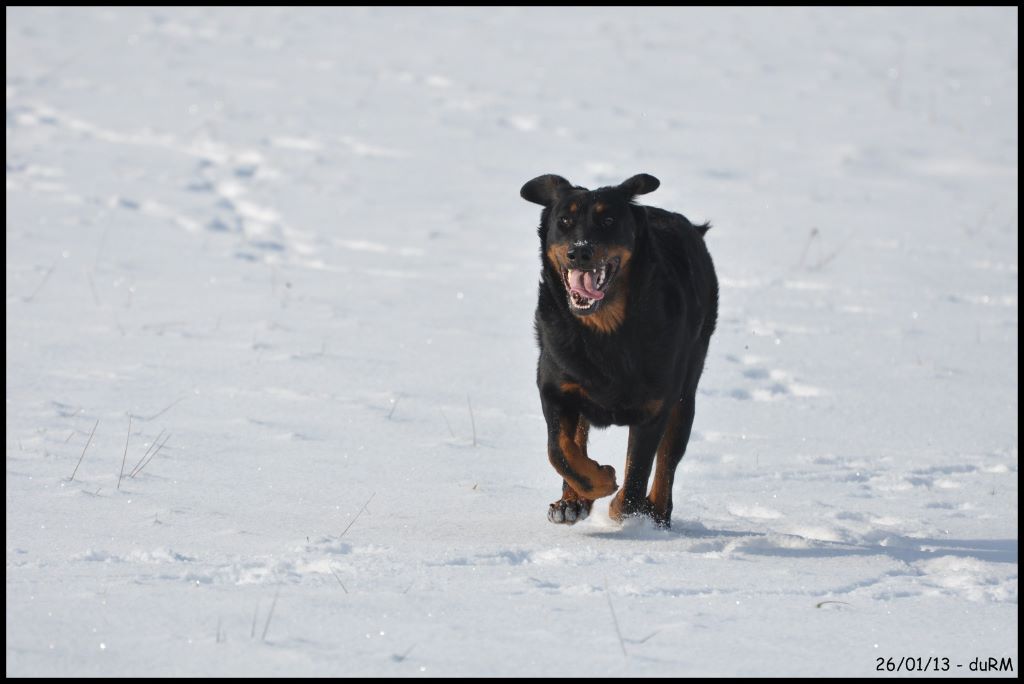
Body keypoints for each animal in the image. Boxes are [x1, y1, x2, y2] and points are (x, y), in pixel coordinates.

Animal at [520, 174, 720, 528]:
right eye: (564, 221)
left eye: (609, 220)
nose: (580, 252)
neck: (605, 329)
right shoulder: (555, 386)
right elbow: (559, 450)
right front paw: (596, 483)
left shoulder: (655, 404)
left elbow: (639, 469)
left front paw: (623, 505)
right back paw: (571, 502)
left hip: (686, 391)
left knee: (667, 460)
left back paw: (656, 515)